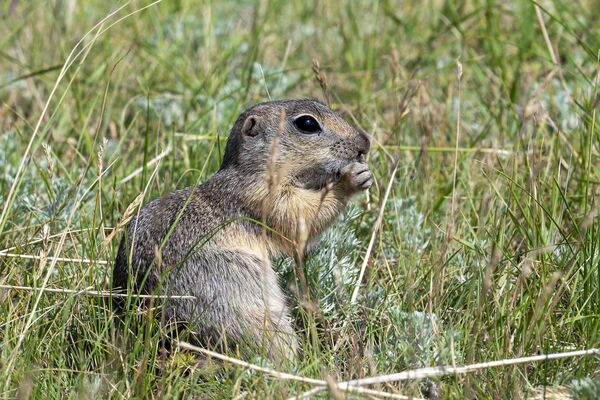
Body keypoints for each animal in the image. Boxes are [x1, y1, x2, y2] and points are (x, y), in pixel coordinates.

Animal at [112, 98, 370, 364]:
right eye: (307, 123)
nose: (365, 144)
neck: (254, 171)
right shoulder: (263, 197)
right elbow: (300, 215)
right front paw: (352, 178)